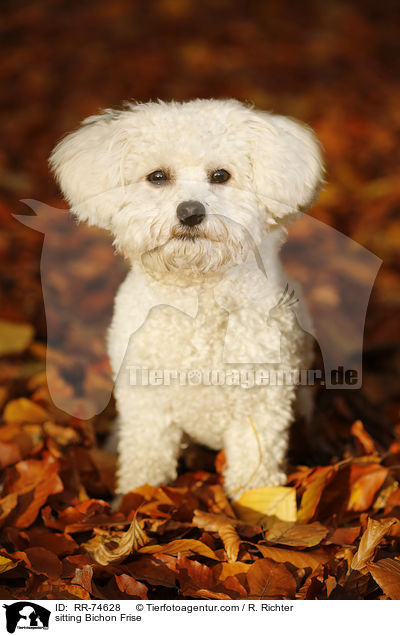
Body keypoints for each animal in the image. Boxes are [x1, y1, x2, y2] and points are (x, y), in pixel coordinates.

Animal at [50, 98, 324, 496]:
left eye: (221, 175)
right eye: (157, 176)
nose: (190, 211)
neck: (197, 293)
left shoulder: (260, 407)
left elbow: (254, 476)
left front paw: (256, 508)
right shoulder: (147, 408)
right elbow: (145, 465)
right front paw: (135, 499)